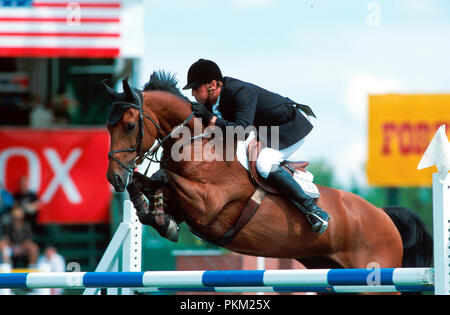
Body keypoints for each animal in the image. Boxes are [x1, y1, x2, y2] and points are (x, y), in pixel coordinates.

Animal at [103, 72, 432, 284]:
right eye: (108, 127)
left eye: (130, 125)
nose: (114, 178)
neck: (197, 145)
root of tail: (383, 215)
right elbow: (148, 186)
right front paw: (155, 214)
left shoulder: (208, 204)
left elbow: (163, 175)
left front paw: (158, 212)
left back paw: (317, 215)